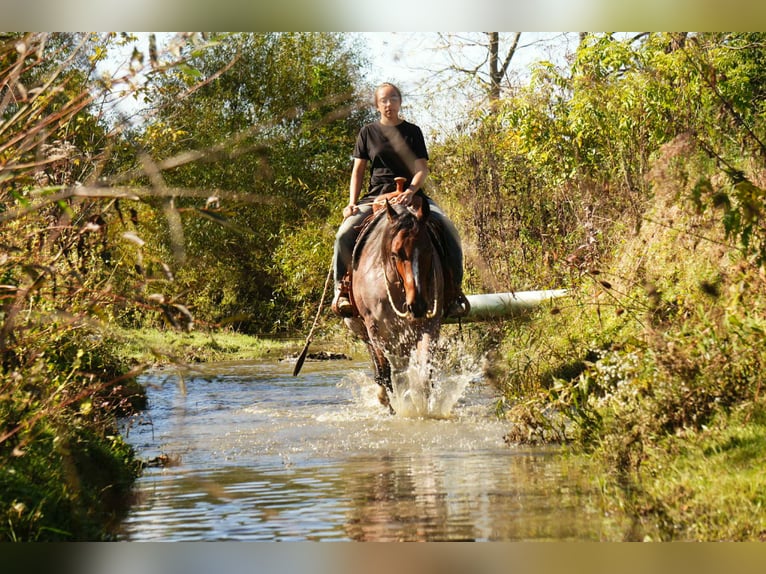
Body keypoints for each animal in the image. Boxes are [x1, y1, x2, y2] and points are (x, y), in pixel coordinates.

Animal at [344, 183, 445, 412]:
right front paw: (394, 408)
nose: (417, 305)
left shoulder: (429, 325)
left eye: (429, 250)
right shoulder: (376, 329)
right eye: (396, 253)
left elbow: (424, 373)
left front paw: (421, 409)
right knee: (381, 368)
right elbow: (387, 374)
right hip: (362, 329)